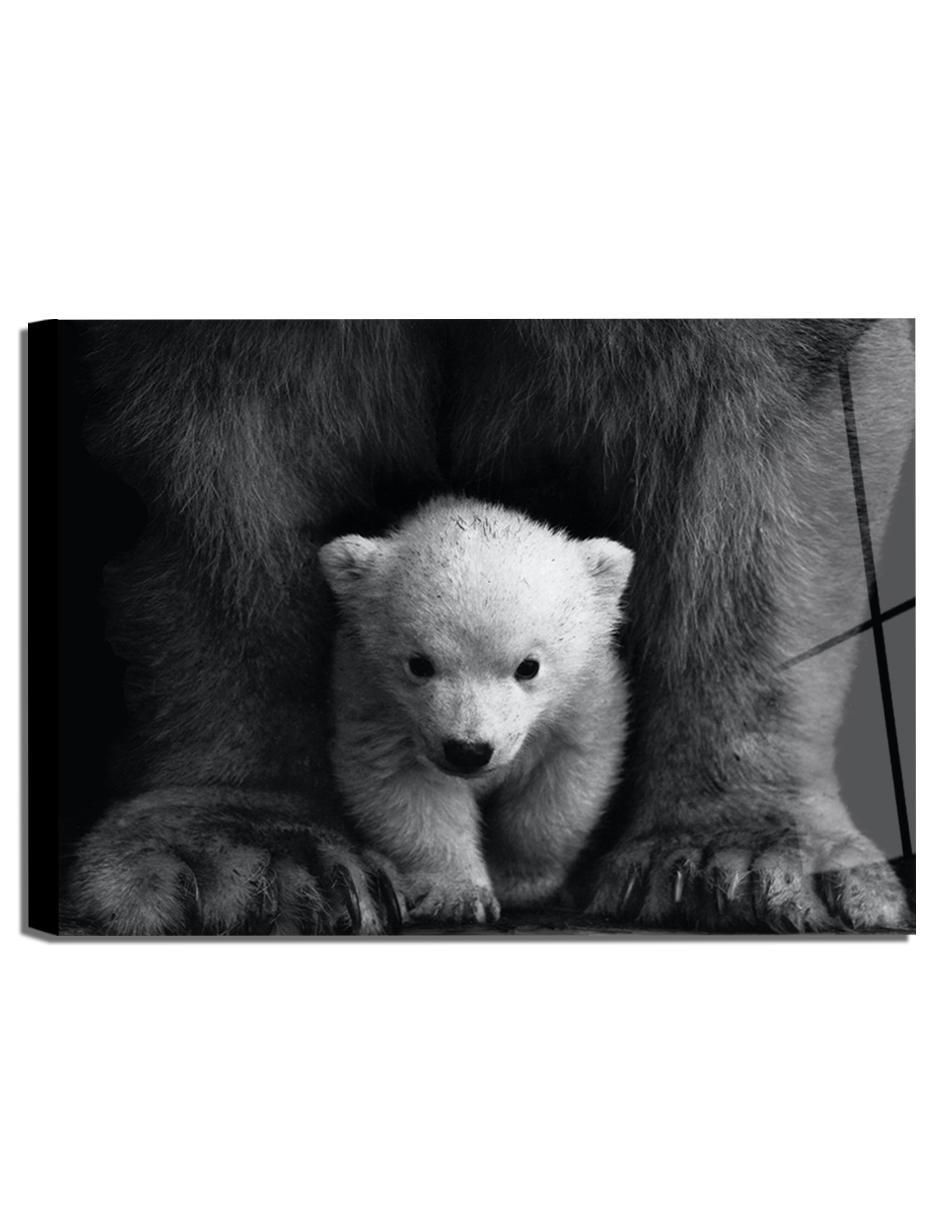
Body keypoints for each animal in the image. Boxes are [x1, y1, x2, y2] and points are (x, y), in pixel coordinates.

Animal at [319, 496, 634, 926]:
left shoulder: (584, 700)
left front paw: (519, 882)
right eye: (419, 664)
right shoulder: (374, 702)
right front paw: (458, 896)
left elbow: (562, 785)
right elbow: (407, 789)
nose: (468, 751)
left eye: (528, 666)